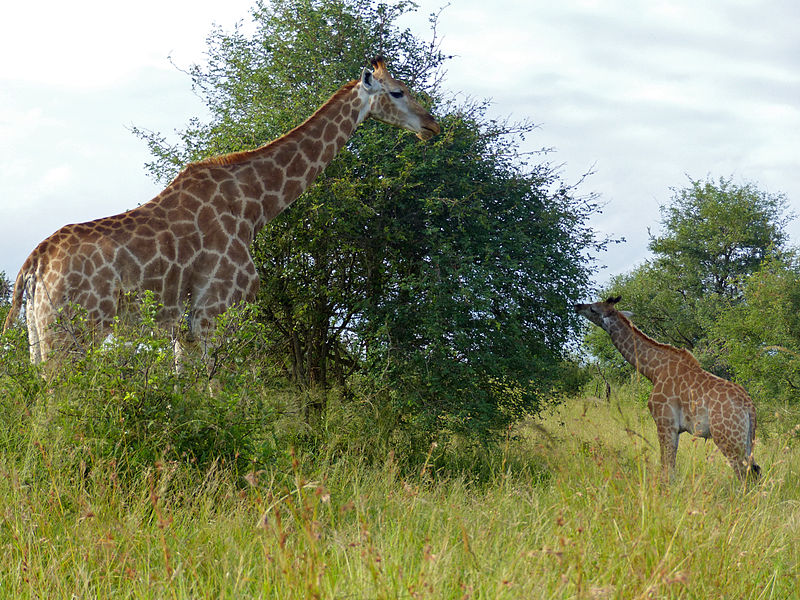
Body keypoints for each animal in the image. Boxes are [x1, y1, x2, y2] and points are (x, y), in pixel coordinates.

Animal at [3, 58, 440, 364]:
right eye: (398, 92)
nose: (432, 126)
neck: (254, 205)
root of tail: (34, 263)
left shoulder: (185, 327)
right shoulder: (216, 310)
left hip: (38, 334)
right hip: (76, 328)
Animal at [580, 296, 760, 482]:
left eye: (593, 309)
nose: (578, 306)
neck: (654, 370)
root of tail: (749, 407)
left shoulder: (664, 421)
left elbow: (667, 467)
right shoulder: (675, 428)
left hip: (727, 438)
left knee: (743, 473)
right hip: (747, 440)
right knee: (755, 471)